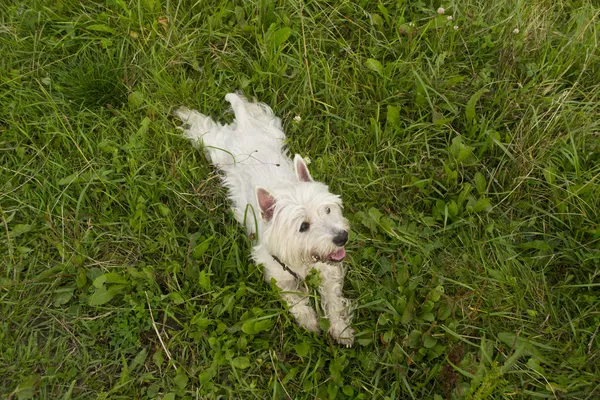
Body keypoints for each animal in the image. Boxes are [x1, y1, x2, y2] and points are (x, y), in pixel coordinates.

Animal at [173, 92, 354, 346]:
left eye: (327, 210)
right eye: (303, 226)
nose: (342, 237)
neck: (302, 261)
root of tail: (244, 128)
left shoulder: (328, 271)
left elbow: (334, 301)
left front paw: (341, 330)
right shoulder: (276, 275)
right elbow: (295, 300)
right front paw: (310, 322)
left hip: (272, 128)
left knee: (250, 106)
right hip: (218, 149)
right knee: (205, 127)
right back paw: (185, 114)